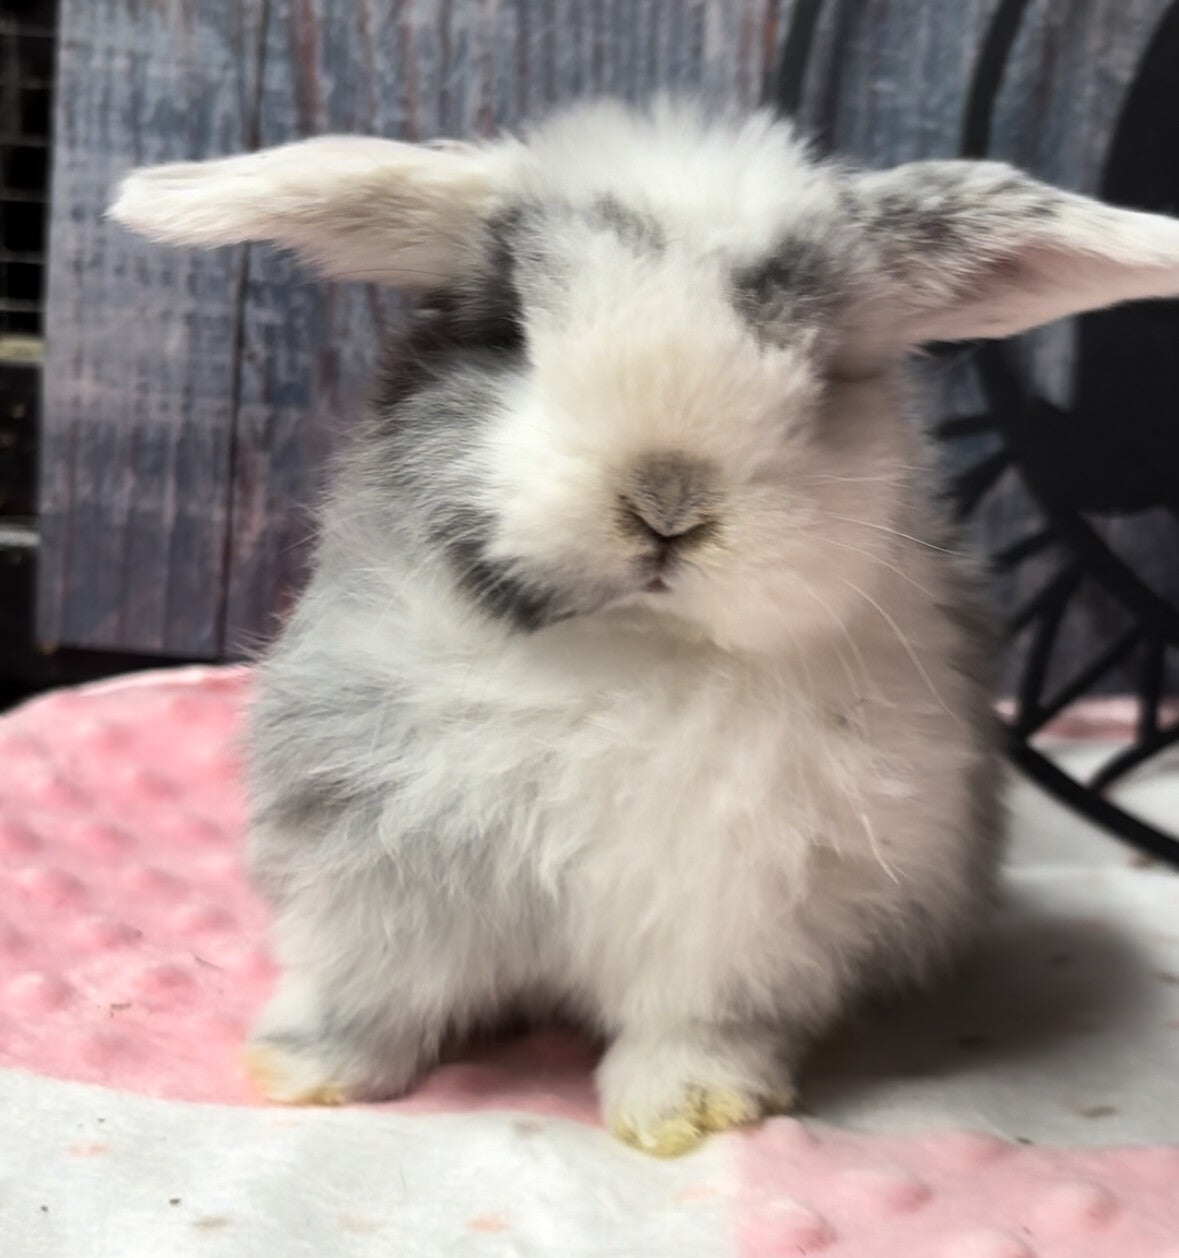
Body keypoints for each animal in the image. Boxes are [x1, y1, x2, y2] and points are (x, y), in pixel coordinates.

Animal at [109, 99, 1179, 1156]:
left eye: (830, 371)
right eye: (510, 333)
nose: (667, 503)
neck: (631, 645)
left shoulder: (742, 900)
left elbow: (693, 1019)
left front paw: (685, 1113)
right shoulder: (375, 846)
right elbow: (374, 983)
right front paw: (309, 1075)